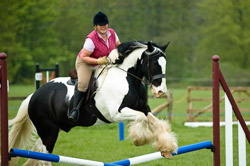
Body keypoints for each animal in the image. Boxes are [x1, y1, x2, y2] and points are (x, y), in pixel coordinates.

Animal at [8, 40, 178, 165]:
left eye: (165, 64)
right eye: (154, 63)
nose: (161, 91)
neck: (126, 79)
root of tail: (34, 95)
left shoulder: (143, 107)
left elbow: (155, 122)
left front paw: (166, 148)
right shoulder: (116, 113)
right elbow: (142, 119)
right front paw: (140, 139)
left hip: (52, 130)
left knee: (39, 152)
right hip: (48, 130)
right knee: (44, 156)